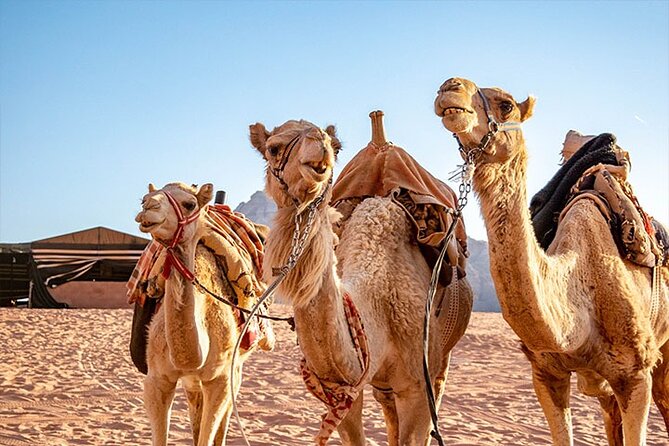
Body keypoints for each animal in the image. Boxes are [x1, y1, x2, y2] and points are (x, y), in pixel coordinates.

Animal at [135, 182, 268, 446]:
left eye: (189, 204)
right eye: (143, 199)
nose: (148, 206)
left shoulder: (219, 380)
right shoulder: (157, 379)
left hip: (235, 368)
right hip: (192, 380)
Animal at [249, 118, 473, 445]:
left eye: (336, 146)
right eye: (273, 148)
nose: (319, 146)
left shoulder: (417, 385)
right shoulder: (342, 388)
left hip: (441, 354)